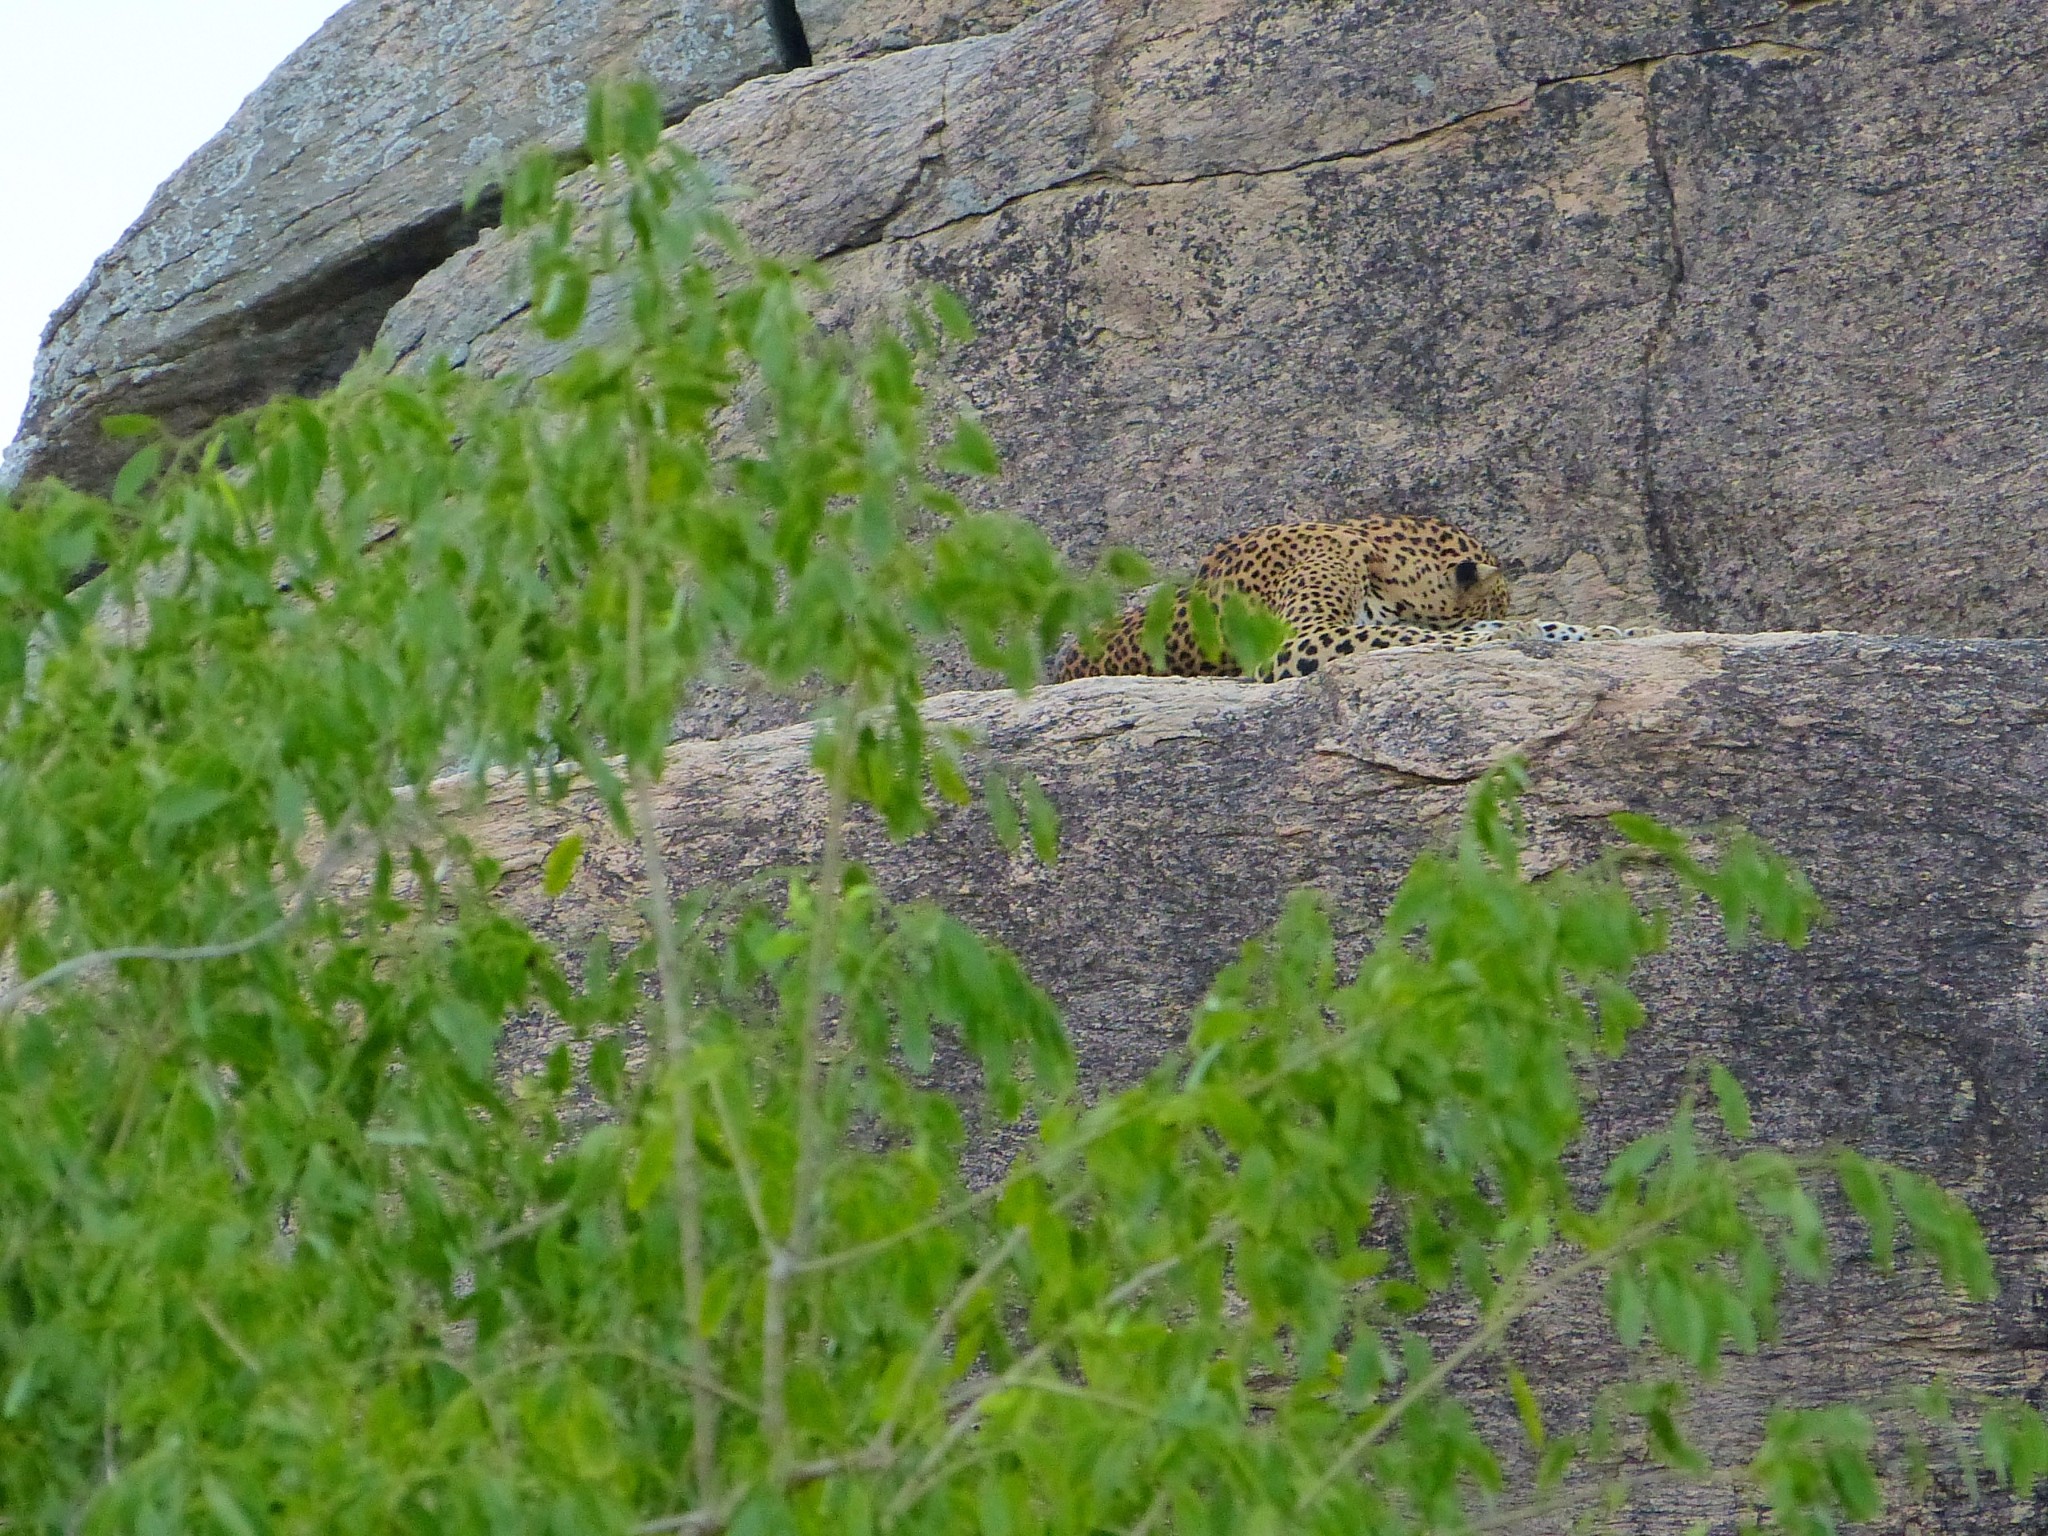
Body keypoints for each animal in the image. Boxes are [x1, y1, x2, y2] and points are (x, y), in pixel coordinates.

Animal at [1048, 514, 1654, 684]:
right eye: (1493, 604)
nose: (1502, 617)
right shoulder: (1296, 640)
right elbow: (1402, 634)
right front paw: (1504, 632)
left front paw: (1618, 632)